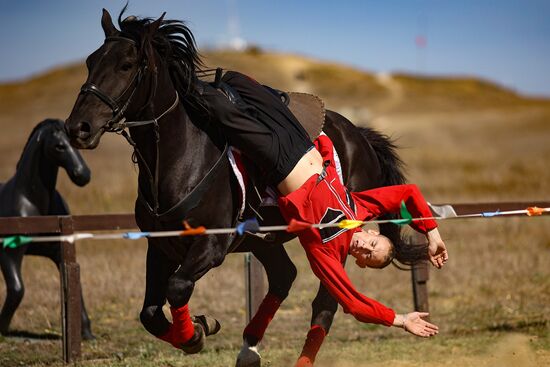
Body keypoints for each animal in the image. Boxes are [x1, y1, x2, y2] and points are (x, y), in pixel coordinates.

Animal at [0, 119, 94, 340]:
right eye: (59, 146)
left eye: (75, 143)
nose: (83, 175)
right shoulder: (8, 254)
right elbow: (17, 289)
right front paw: (2, 329)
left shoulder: (60, 253)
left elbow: (75, 288)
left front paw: (87, 333)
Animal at [66, 8, 406, 366]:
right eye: (91, 61)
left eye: (127, 65)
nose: (78, 128)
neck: (182, 157)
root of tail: (360, 137)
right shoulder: (159, 246)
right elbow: (150, 314)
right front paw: (197, 328)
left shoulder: (212, 246)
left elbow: (178, 286)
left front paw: (196, 333)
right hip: (264, 238)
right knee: (283, 276)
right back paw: (249, 348)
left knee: (323, 304)